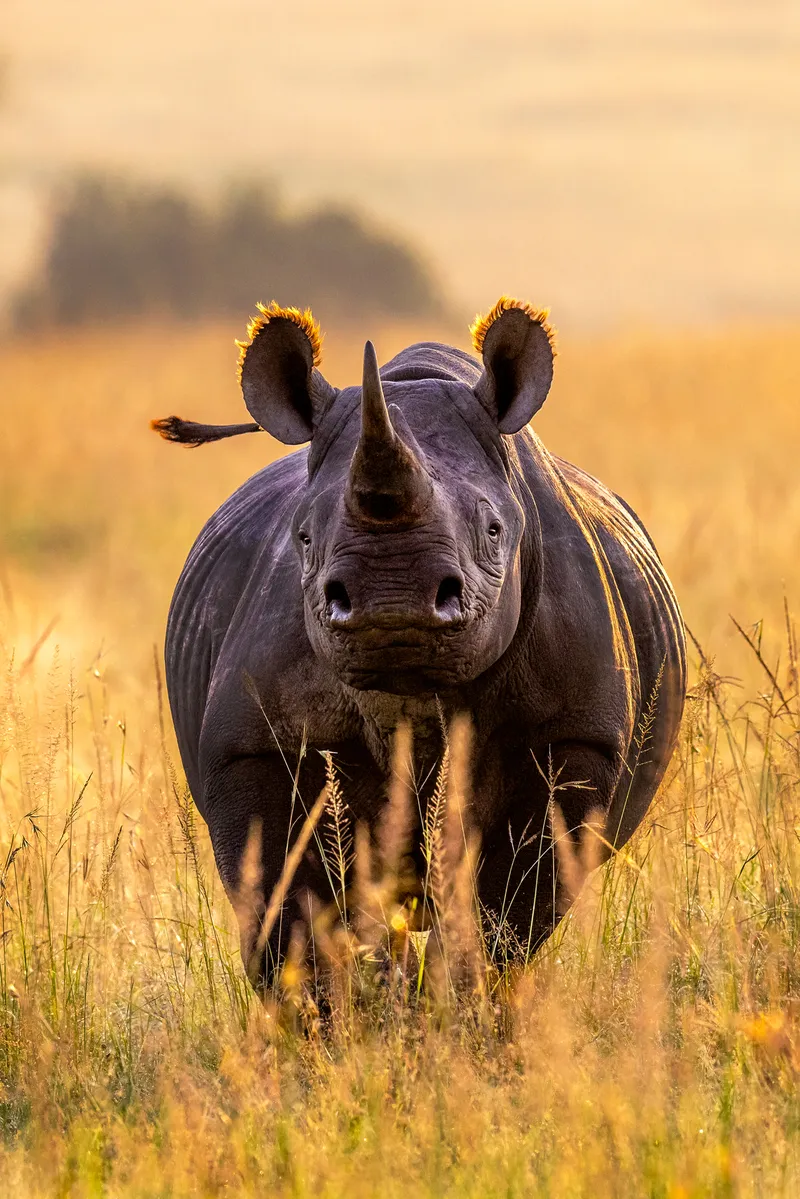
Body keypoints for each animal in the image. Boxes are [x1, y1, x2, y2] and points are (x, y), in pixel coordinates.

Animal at [153, 297, 686, 986]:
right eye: (302, 536)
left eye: (494, 531)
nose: (392, 605)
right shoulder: (254, 742)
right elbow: (281, 905)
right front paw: (320, 1012)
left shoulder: (572, 736)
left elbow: (508, 911)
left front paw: (462, 1004)